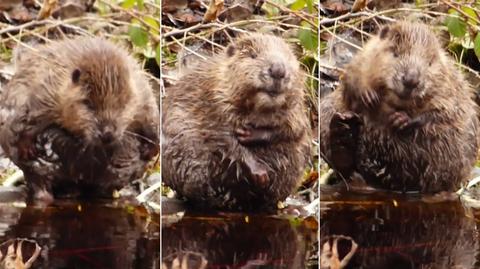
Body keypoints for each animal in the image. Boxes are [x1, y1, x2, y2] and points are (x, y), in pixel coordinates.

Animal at [0, 37, 159, 201]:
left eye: (123, 103)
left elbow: (150, 112)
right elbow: (30, 111)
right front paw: (27, 147)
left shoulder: (141, 88)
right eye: (88, 103)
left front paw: (150, 148)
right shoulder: (49, 87)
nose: (107, 134)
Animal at [161, 32, 312, 210]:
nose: (278, 70)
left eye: (289, 57)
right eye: (253, 55)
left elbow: (295, 130)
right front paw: (261, 174)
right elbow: (222, 138)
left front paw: (251, 135)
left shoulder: (297, 110)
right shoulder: (214, 100)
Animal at [318, 21, 480, 193]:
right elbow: (350, 78)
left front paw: (401, 119)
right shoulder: (363, 57)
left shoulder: (451, 87)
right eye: (395, 53)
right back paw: (343, 130)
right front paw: (368, 95)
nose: (411, 80)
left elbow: (445, 112)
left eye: (429, 63)